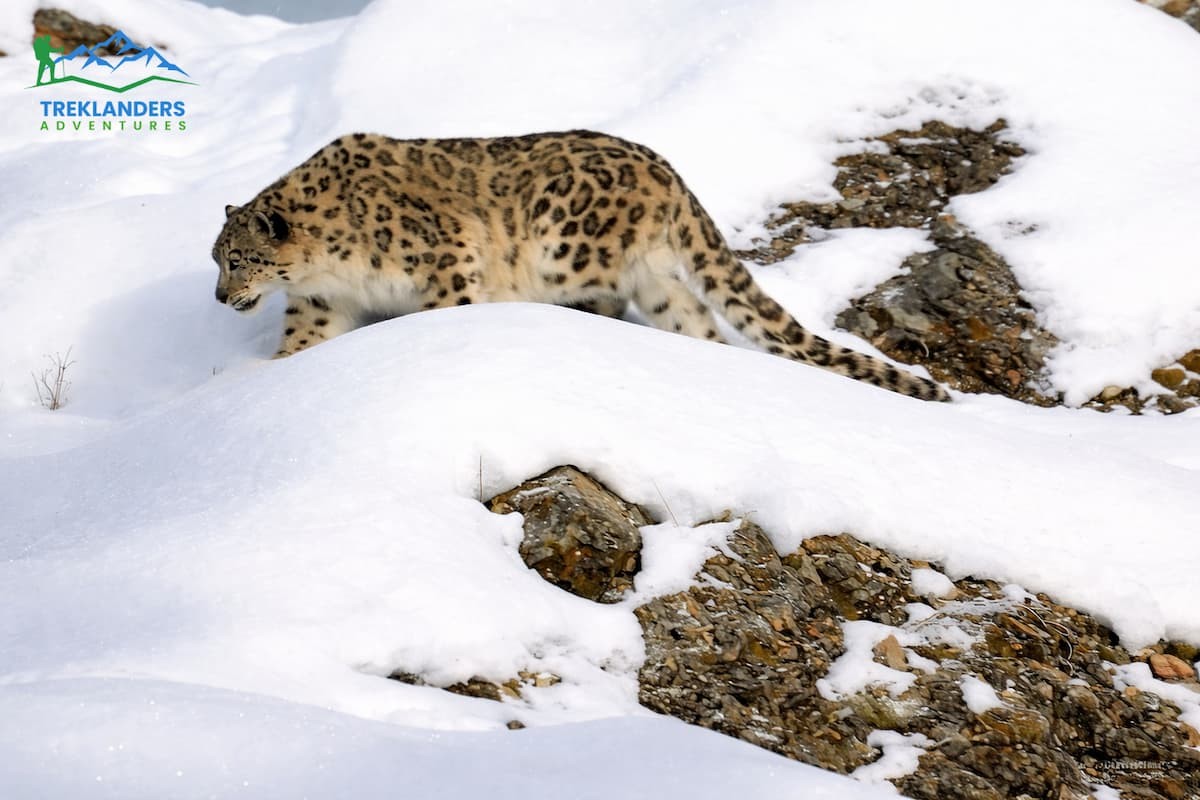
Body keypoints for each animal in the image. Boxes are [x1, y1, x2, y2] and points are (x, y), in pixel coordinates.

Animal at [213, 130, 948, 401]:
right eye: (216, 259)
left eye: (240, 258)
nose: (221, 298)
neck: (324, 268)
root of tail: (665, 168)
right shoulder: (320, 303)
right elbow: (302, 343)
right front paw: (267, 377)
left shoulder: (446, 258)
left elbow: (446, 309)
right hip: (659, 283)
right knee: (695, 319)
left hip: (567, 244)